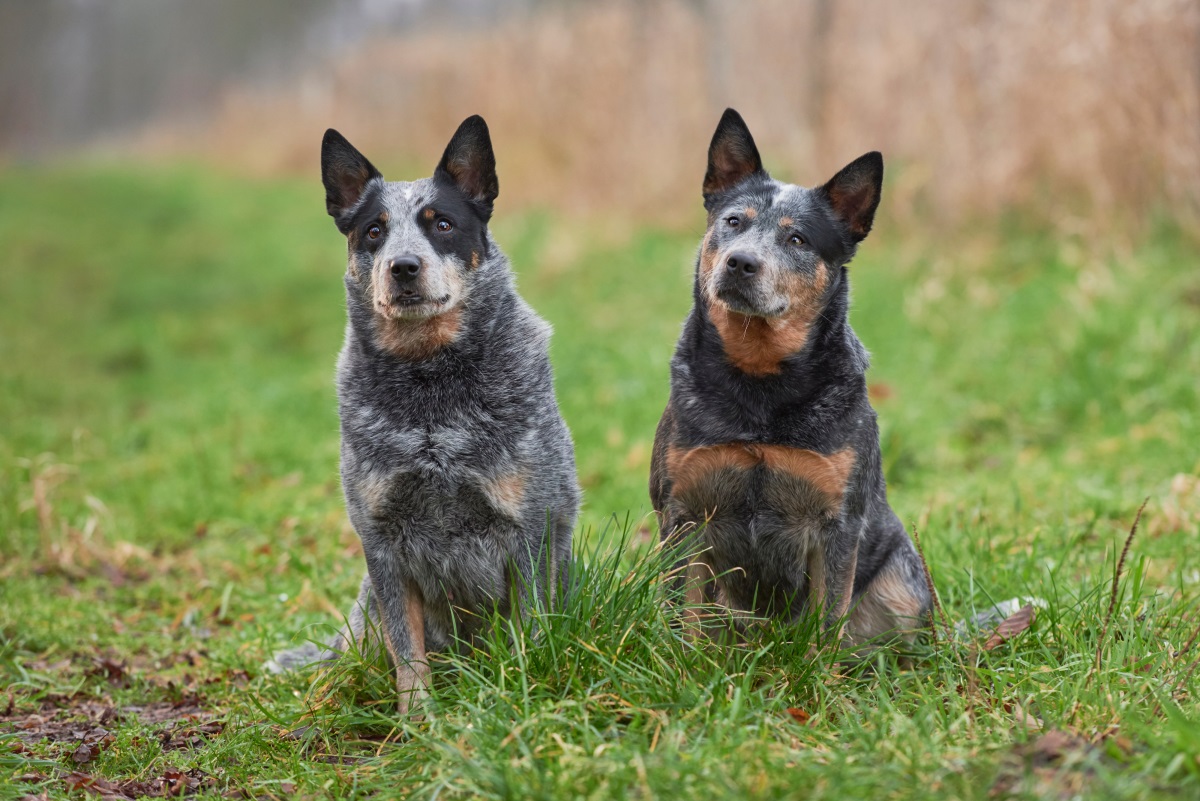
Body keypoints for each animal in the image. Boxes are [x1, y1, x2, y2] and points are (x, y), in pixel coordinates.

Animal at [267, 115, 576, 709]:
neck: (430, 389)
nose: (403, 266)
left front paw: (524, 693)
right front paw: (418, 719)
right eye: (373, 231)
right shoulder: (382, 541)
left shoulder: (527, 527)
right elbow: (407, 649)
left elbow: (530, 627)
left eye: (443, 224)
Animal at [652, 107, 931, 642]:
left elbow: (827, 623)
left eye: (797, 238)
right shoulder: (684, 513)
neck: (760, 384)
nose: (740, 261)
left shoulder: (838, 524)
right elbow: (683, 616)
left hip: (904, 583)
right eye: (733, 222)